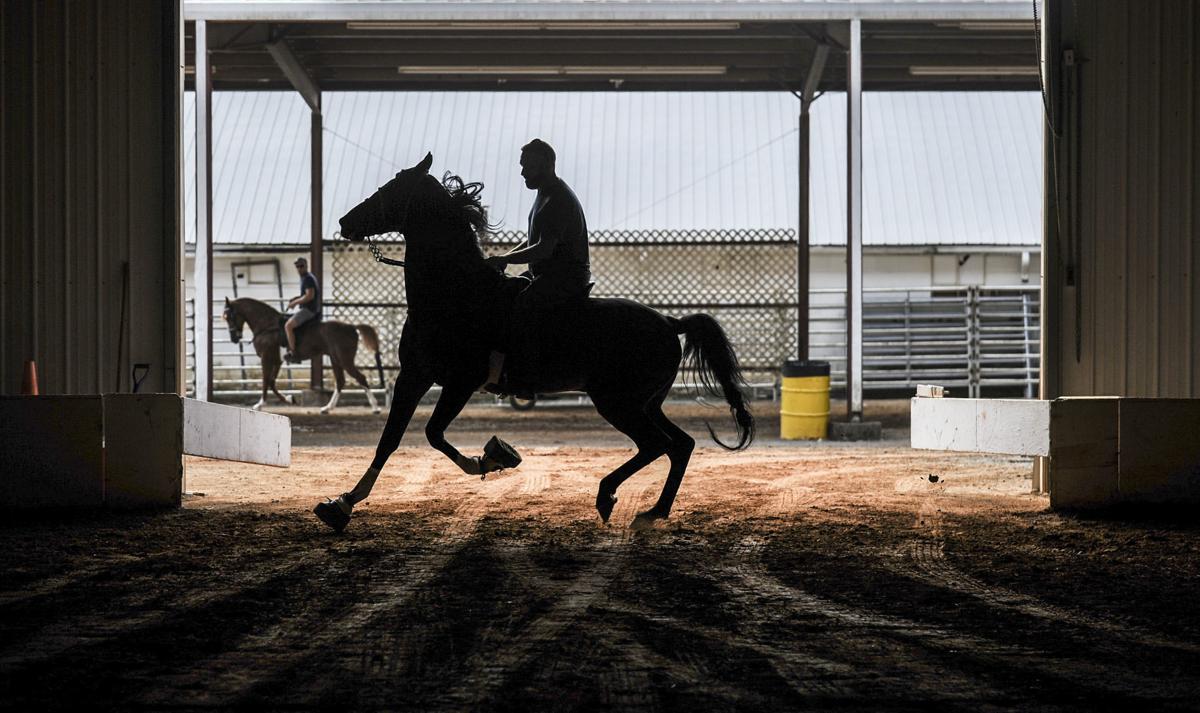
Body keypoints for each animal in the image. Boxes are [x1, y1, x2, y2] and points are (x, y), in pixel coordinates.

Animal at [221, 296, 384, 414]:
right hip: (336, 360)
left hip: (345, 360)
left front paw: (260, 404)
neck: (267, 326)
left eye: (229, 316)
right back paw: (327, 408)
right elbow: (272, 382)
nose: (234, 338)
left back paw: (375, 408)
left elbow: (266, 381)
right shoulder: (277, 361)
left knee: (360, 378)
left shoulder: (266, 359)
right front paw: (289, 399)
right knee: (340, 382)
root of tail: (351, 327)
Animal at [314, 153, 754, 531]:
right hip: (646, 403)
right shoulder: (414, 376)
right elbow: (388, 441)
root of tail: (668, 321)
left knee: (656, 445)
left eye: (391, 188)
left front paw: (493, 458)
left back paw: (608, 496)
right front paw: (341, 505)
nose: (345, 221)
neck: (456, 294)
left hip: (619, 403)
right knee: (680, 444)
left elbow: (433, 434)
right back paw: (654, 511)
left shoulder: (459, 382)